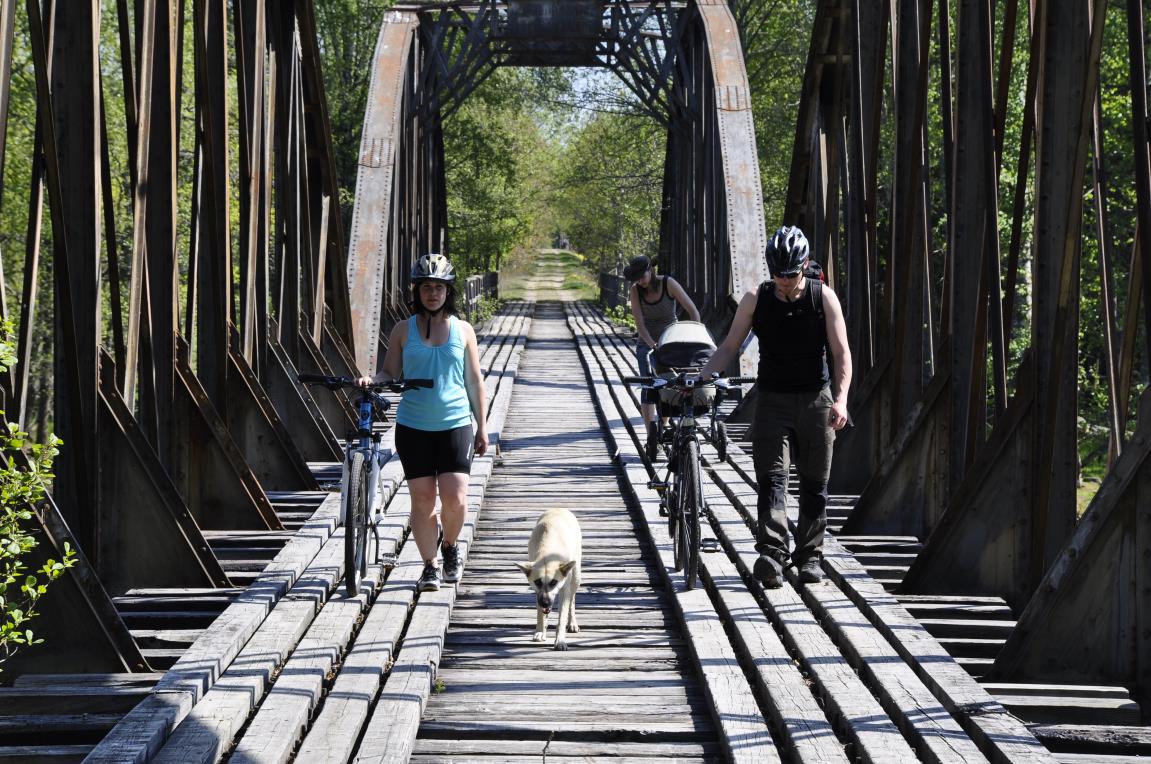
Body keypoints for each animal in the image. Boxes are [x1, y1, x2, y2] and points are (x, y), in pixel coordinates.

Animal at [515, 510, 580, 648]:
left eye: (554, 582)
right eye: (537, 582)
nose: (545, 603)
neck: (548, 554)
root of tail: (559, 508)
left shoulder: (564, 590)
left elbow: (562, 617)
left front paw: (560, 640)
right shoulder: (538, 593)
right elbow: (540, 613)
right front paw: (540, 631)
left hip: (576, 576)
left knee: (572, 599)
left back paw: (572, 623)